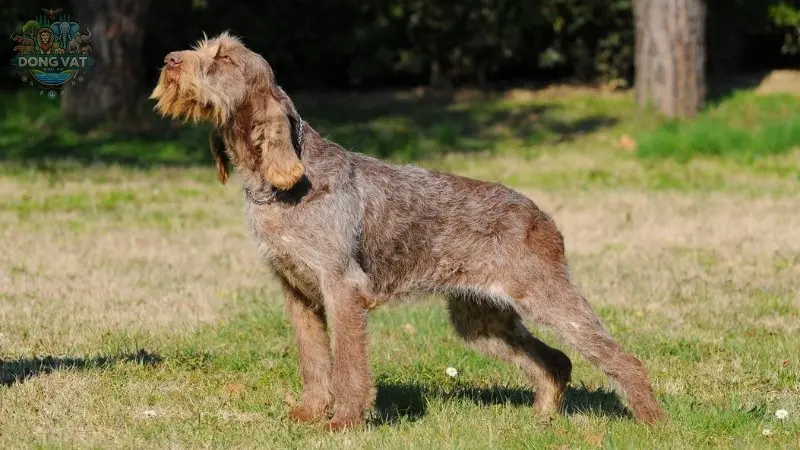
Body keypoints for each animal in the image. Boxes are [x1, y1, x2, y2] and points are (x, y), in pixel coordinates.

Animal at [150, 33, 664, 430]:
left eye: (223, 58)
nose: (169, 59)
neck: (280, 186)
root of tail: (542, 216)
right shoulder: (297, 293)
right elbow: (314, 363)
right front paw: (309, 414)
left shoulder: (342, 289)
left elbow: (348, 367)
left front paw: (344, 422)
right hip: (480, 319)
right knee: (556, 361)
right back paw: (542, 417)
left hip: (548, 299)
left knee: (621, 358)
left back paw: (651, 421)